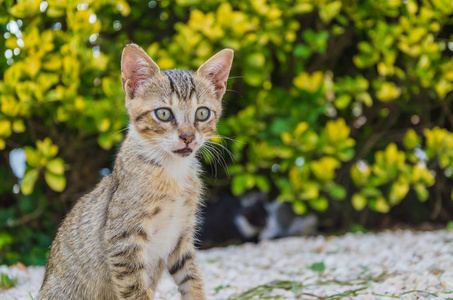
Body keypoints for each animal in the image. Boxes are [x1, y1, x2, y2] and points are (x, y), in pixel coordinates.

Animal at [38, 44, 233, 300]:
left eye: (202, 113)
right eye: (163, 113)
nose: (188, 137)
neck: (173, 173)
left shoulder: (181, 237)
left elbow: (192, 281)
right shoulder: (123, 242)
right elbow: (136, 291)